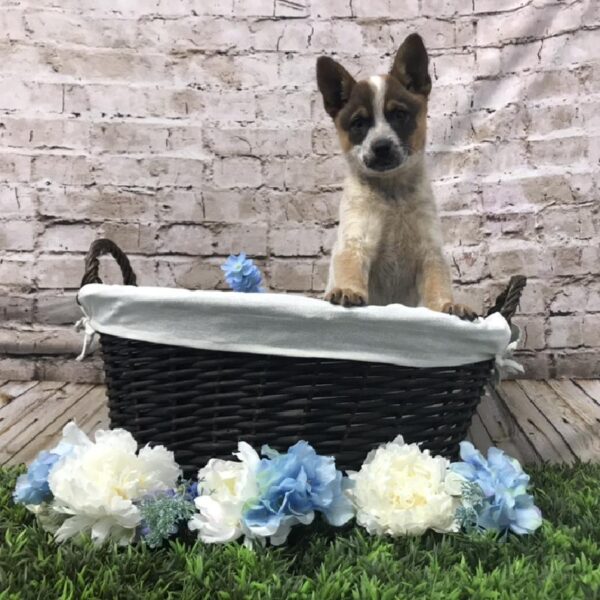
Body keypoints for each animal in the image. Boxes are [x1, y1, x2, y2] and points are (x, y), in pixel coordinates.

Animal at [316, 32, 476, 322]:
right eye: (359, 123)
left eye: (399, 115)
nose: (381, 147)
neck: (392, 198)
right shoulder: (356, 243)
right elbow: (350, 269)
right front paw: (347, 290)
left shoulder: (429, 253)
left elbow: (438, 288)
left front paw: (448, 306)